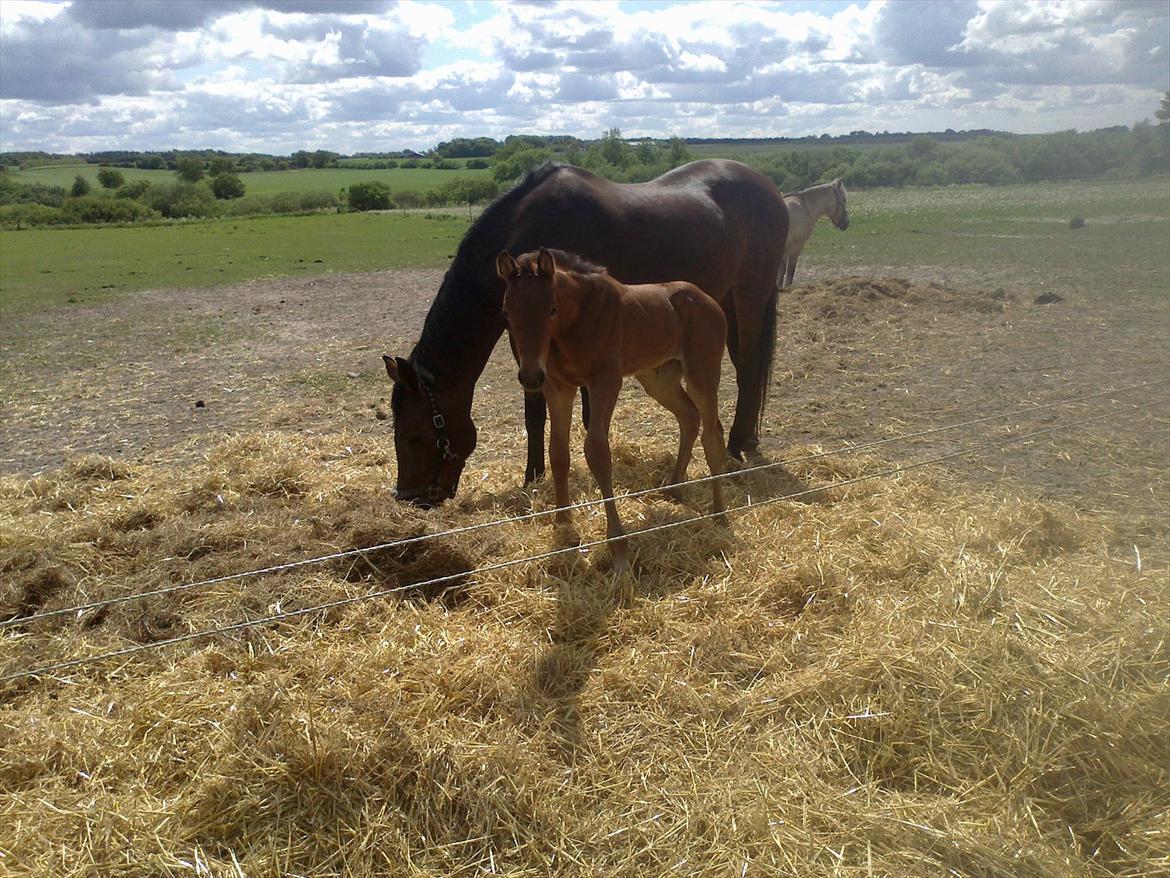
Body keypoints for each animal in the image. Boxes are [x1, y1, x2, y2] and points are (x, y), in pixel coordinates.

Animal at [381, 154, 786, 505]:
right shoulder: (523, 340)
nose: (411, 499)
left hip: (751, 296)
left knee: (749, 369)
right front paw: (533, 476)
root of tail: (768, 187)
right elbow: (534, 411)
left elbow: (591, 415)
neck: (528, 228)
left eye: (414, 436)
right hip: (726, 300)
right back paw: (746, 441)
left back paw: (735, 446)